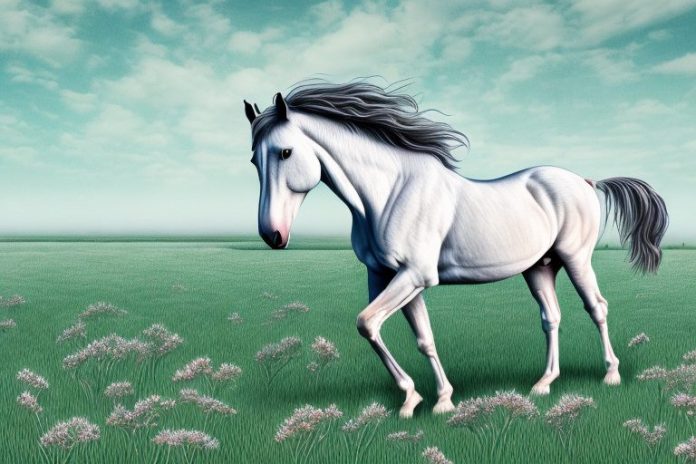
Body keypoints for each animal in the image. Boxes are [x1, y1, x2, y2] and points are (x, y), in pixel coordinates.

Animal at [242, 81, 668, 418]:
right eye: (253, 159)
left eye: (284, 152)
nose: (272, 235)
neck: (389, 193)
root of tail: (585, 180)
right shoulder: (388, 277)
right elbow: (414, 336)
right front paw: (429, 400)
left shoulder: (414, 276)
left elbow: (367, 322)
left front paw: (422, 398)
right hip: (539, 267)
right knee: (552, 317)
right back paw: (544, 383)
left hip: (576, 259)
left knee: (597, 308)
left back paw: (611, 374)